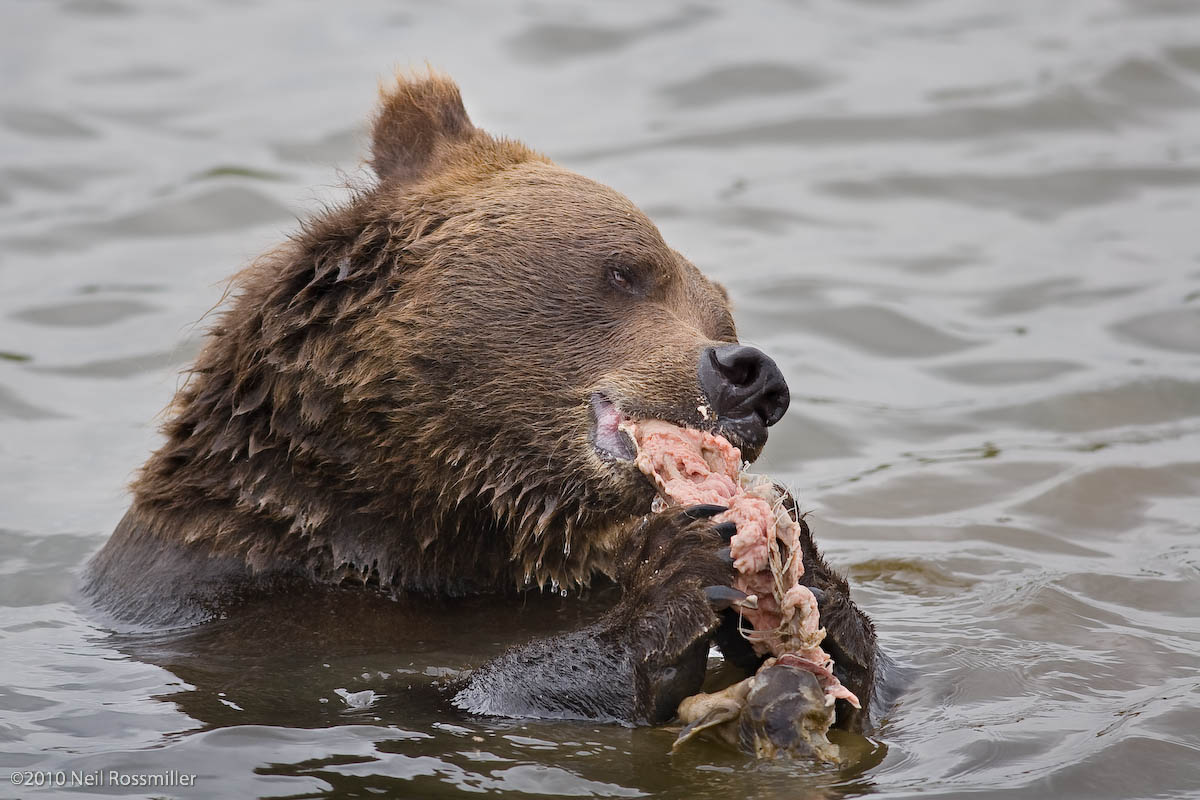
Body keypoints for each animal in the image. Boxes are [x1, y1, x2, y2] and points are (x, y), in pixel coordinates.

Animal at [83, 71, 878, 732]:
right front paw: (677, 572)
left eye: (720, 316)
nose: (752, 376)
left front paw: (814, 574)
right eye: (627, 269)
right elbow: (464, 693)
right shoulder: (242, 614)